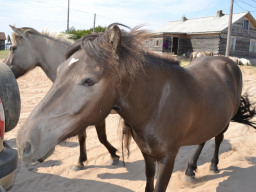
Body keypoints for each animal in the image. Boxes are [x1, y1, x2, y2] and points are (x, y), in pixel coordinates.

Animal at [17, 24, 255, 191]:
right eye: (58, 72)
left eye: (89, 81)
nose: (23, 142)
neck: (158, 102)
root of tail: (227, 62)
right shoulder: (147, 154)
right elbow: (148, 183)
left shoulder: (167, 159)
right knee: (203, 139)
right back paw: (190, 170)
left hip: (224, 122)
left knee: (218, 139)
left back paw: (213, 165)